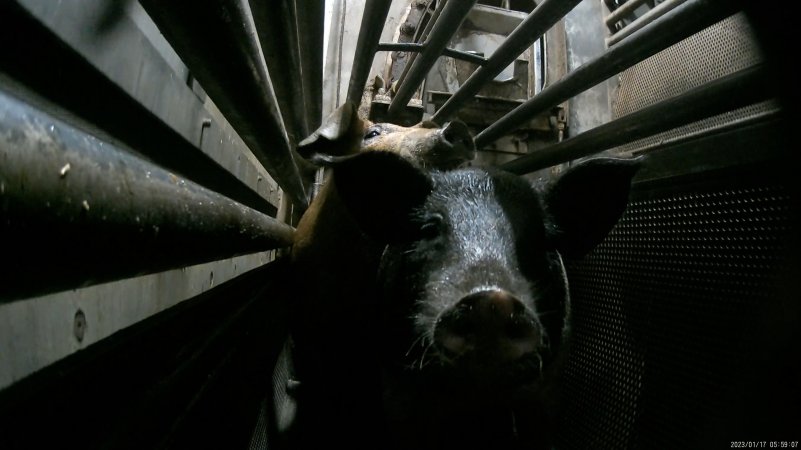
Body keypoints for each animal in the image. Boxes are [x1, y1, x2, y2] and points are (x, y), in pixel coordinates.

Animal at [288, 147, 636, 446]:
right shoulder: (398, 390)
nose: (492, 299)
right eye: (429, 229)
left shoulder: (545, 390)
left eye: (540, 239)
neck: (474, 395)